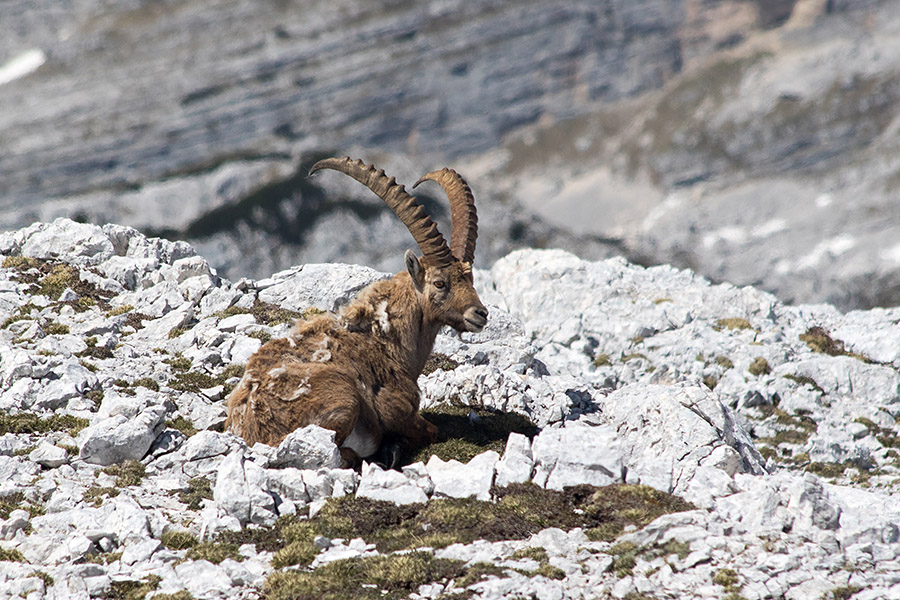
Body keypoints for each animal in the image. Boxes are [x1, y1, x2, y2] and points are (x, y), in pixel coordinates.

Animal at [224, 157, 488, 467]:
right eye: (439, 283)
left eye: (470, 279)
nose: (480, 314)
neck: (385, 340)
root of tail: (254, 431)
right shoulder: (397, 410)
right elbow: (429, 430)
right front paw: (394, 445)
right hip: (344, 397)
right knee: (344, 454)